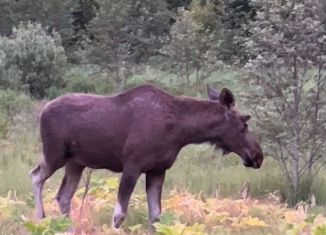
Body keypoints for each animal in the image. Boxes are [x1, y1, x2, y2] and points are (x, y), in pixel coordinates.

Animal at [30, 84, 264, 229]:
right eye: (244, 123)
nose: (258, 155)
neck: (180, 132)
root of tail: (42, 111)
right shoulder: (132, 166)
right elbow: (119, 215)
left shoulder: (157, 170)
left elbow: (156, 216)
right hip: (55, 154)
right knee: (36, 175)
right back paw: (40, 218)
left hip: (76, 163)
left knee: (63, 196)